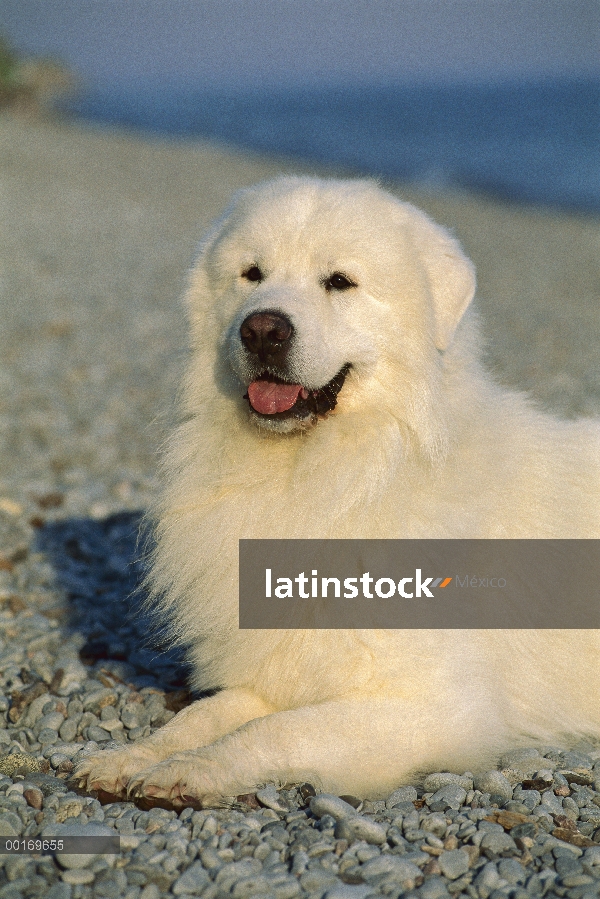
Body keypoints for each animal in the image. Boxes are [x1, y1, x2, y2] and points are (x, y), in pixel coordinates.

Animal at [77, 178, 600, 808]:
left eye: (340, 282)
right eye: (252, 274)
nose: (263, 329)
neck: (343, 477)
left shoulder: (432, 709)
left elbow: (276, 732)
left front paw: (190, 772)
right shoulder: (277, 669)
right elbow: (203, 716)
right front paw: (130, 758)